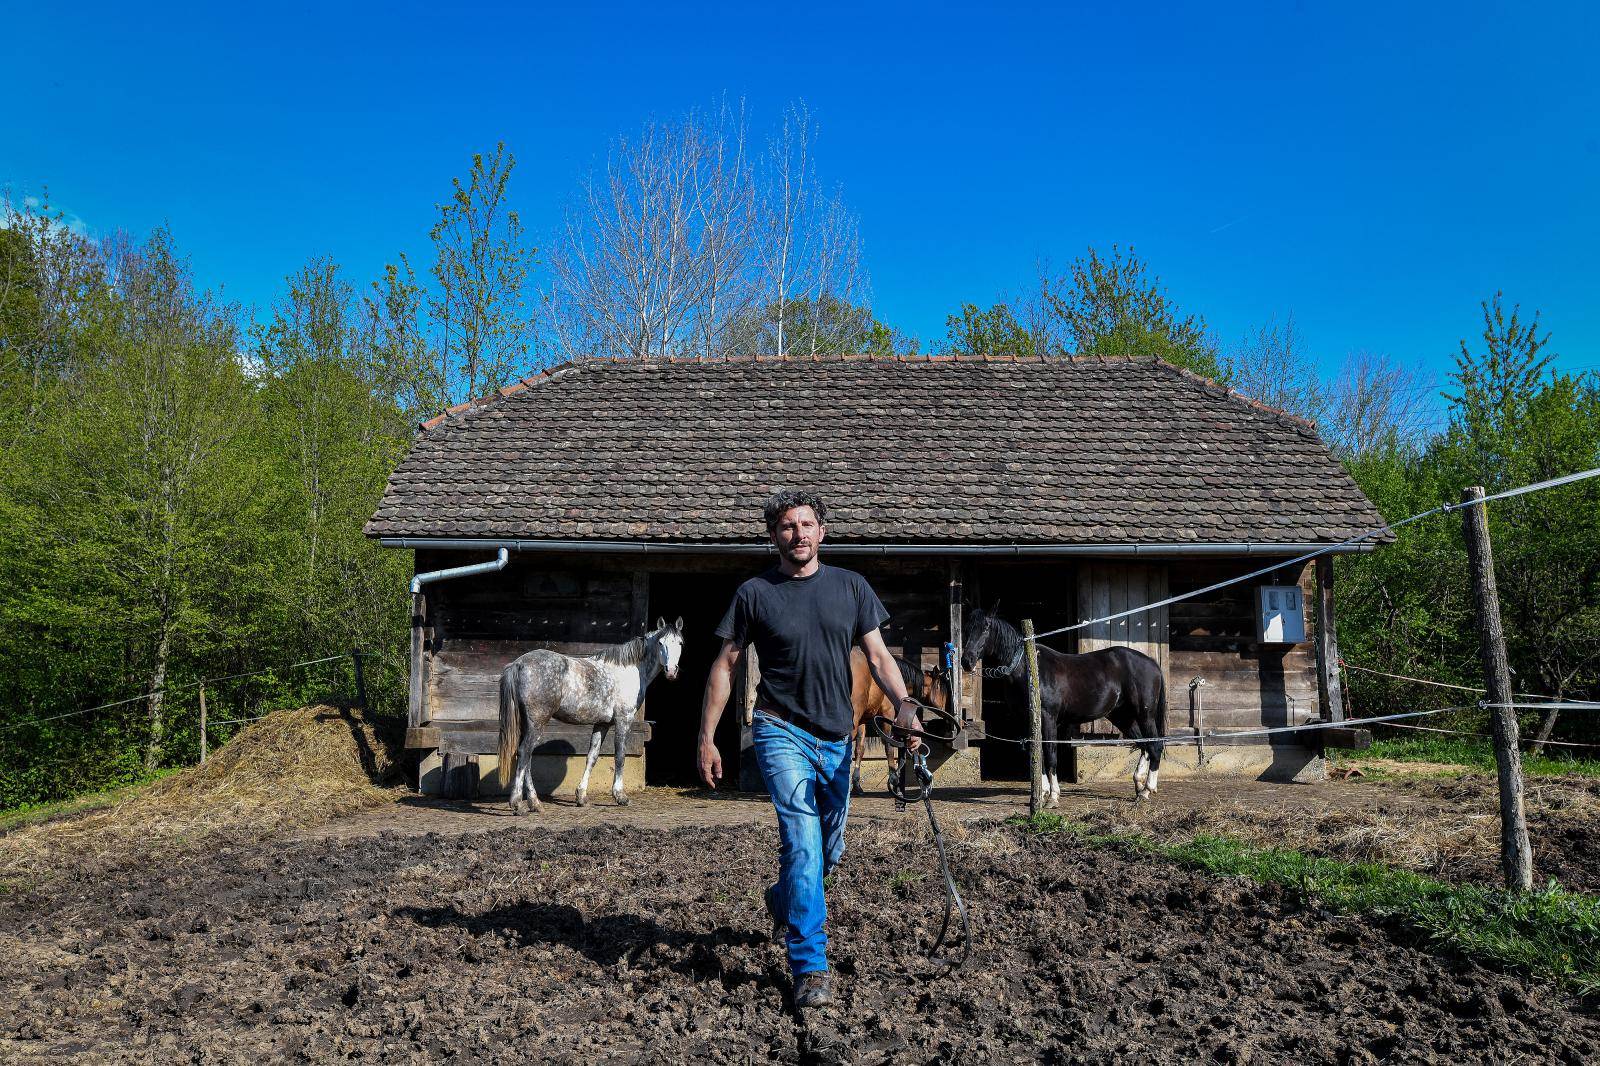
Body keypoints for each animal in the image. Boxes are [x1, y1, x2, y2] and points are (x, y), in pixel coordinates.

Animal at [492, 614, 681, 813]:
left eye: (680, 643)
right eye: (660, 642)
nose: (671, 671)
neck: (629, 670)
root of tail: (518, 663)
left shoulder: (602, 724)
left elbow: (592, 757)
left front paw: (581, 797)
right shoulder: (624, 720)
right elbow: (620, 756)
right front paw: (620, 796)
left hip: (527, 724)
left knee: (526, 758)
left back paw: (535, 803)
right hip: (537, 722)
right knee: (524, 753)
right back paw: (517, 804)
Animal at [851, 643, 947, 793]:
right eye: (939, 688)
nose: (945, 709)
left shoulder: (862, 719)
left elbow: (859, 749)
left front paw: (856, 784)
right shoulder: (887, 712)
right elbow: (889, 746)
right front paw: (894, 778)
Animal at [953, 605, 1171, 797]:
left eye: (986, 627)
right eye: (966, 628)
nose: (967, 661)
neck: (1029, 669)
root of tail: (1152, 663)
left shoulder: (1048, 717)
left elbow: (1049, 753)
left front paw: (1053, 795)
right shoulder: (1028, 720)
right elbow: (1037, 753)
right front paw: (1043, 791)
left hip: (1144, 714)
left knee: (1155, 745)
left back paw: (1147, 789)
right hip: (1122, 717)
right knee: (1144, 744)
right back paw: (1139, 783)